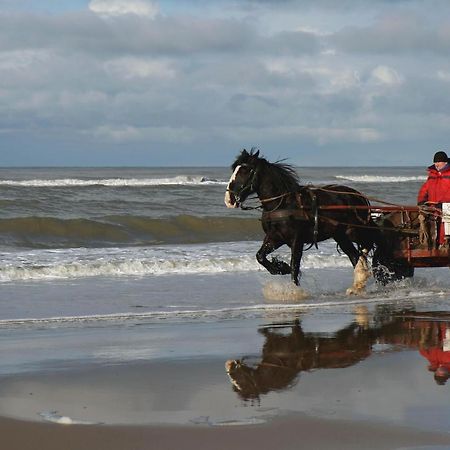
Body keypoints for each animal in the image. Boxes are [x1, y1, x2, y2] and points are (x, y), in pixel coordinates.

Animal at [225, 149, 380, 294]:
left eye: (245, 170)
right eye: (234, 169)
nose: (229, 199)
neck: (283, 203)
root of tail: (358, 196)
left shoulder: (296, 240)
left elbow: (295, 265)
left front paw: (294, 289)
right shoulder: (275, 237)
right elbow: (260, 256)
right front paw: (280, 267)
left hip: (355, 231)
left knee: (369, 242)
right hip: (341, 236)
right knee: (354, 256)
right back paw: (357, 284)